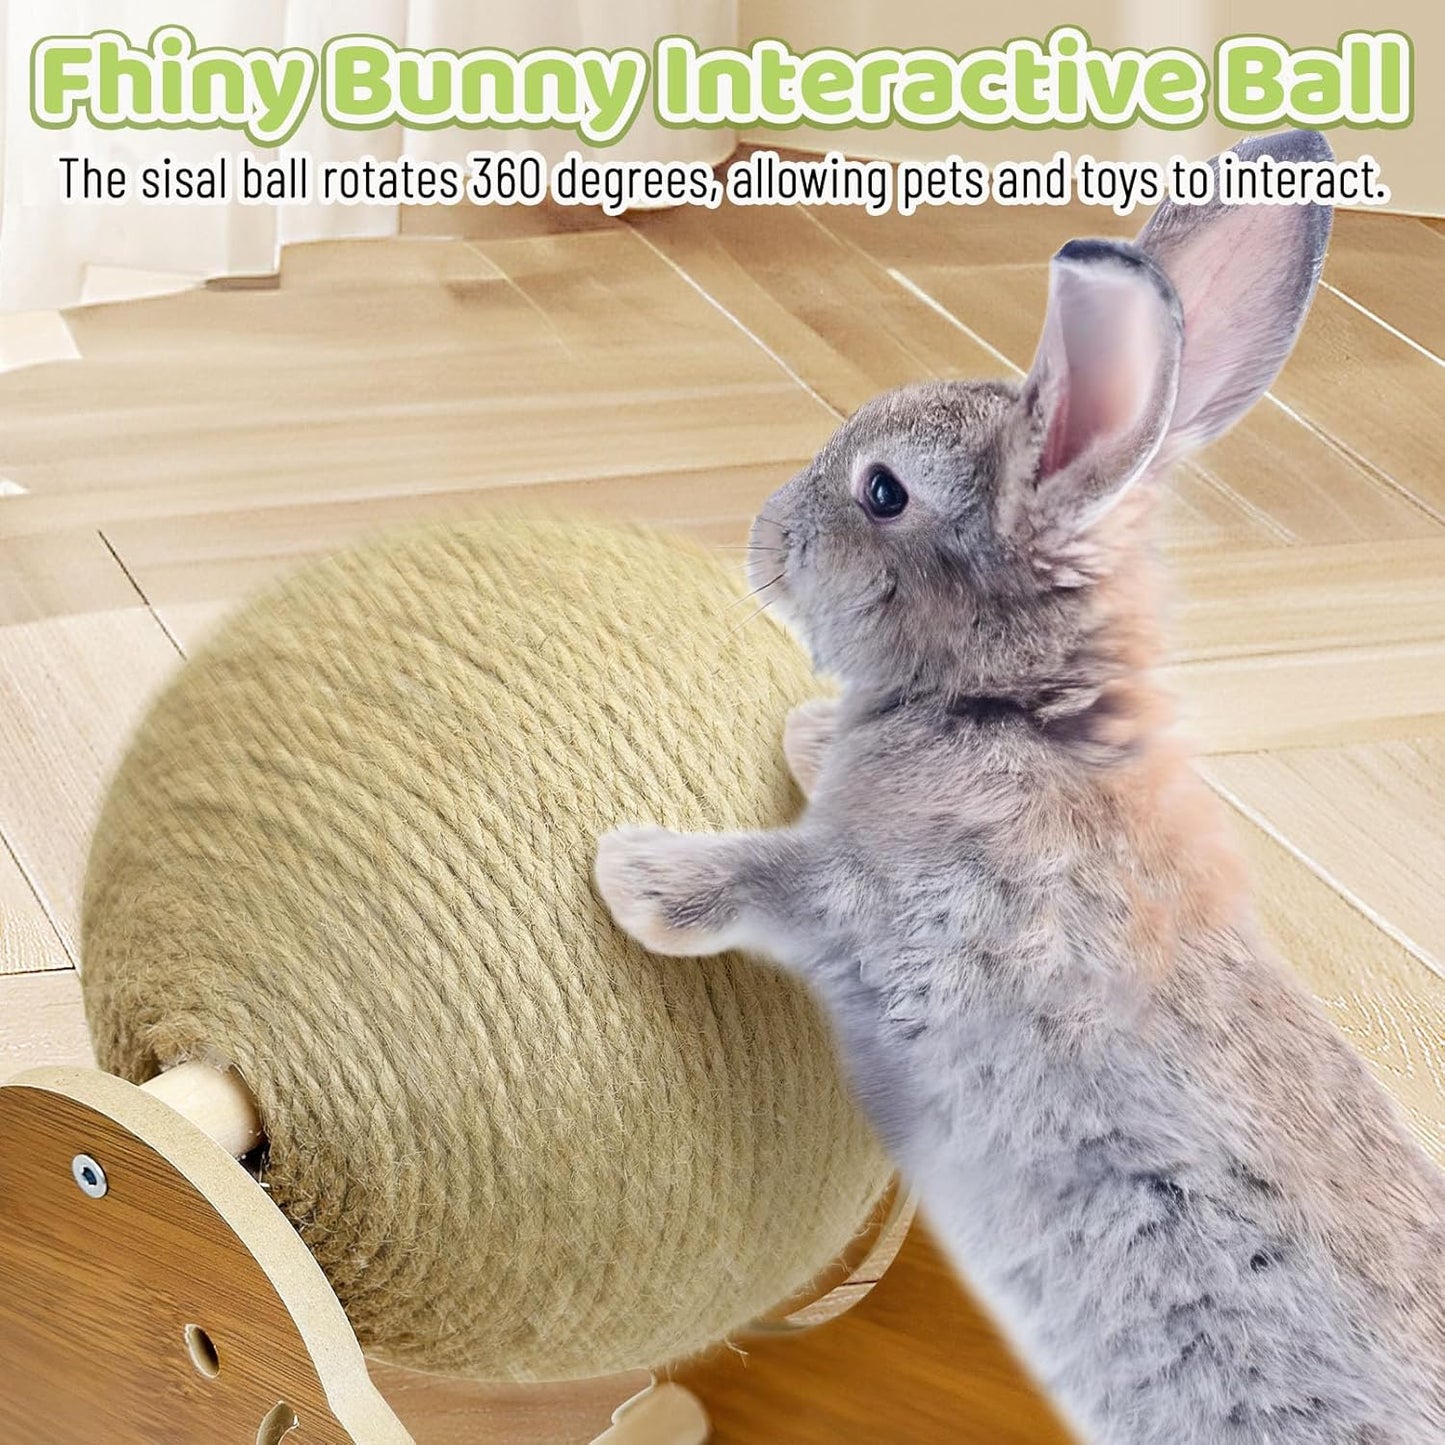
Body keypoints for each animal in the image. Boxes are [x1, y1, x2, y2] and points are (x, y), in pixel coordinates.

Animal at [594, 129, 1445, 1445]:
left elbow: (769, 875)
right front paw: (804, 731)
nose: (760, 538)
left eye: (882, 491)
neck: (1024, 710)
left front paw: (632, 873)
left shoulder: (895, 897)